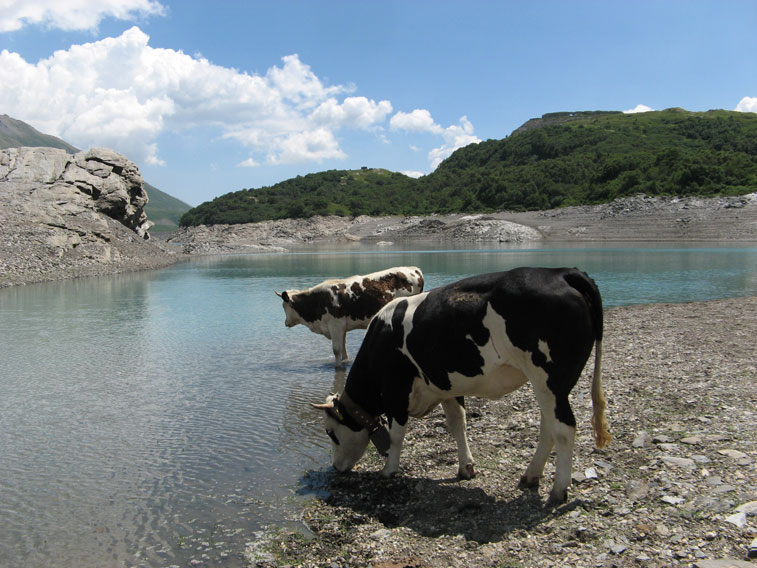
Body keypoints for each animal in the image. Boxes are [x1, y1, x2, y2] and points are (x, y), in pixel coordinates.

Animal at [274, 268, 422, 366]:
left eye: (284, 306)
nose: (285, 322)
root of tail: (413, 269)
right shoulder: (342, 327)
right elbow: (343, 348)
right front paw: (345, 361)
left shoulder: (335, 325)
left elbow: (336, 350)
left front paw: (337, 367)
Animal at [312, 268, 608, 506]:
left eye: (331, 433)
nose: (335, 467)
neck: (380, 339)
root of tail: (561, 272)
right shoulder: (446, 387)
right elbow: (458, 425)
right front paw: (466, 468)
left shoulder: (396, 390)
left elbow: (397, 435)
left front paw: (388, 470)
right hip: (548, 387)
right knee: (548, 426)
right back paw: (531, 476)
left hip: (549, 379)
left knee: (564, 429)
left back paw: (558, 490)